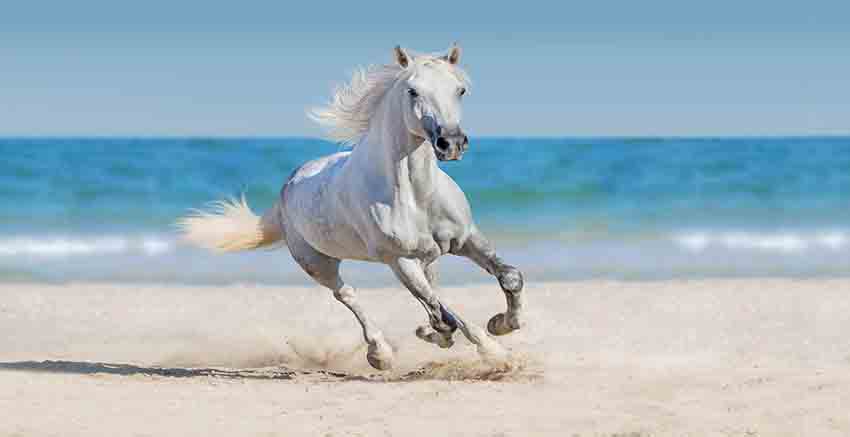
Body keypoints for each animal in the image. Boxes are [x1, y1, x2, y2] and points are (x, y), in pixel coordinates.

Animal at [176, 44, 525, 370]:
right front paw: (496, 354)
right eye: (413, 91)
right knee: (348, 294)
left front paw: (502, 324)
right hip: (318, 264)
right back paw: (380, 354)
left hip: (426, 257)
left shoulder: (466, 239)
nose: (451, 143)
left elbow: (508, 278)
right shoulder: (399, 260)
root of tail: (287, 187)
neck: (416, 195)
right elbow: (444, 312)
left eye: (460, 90)